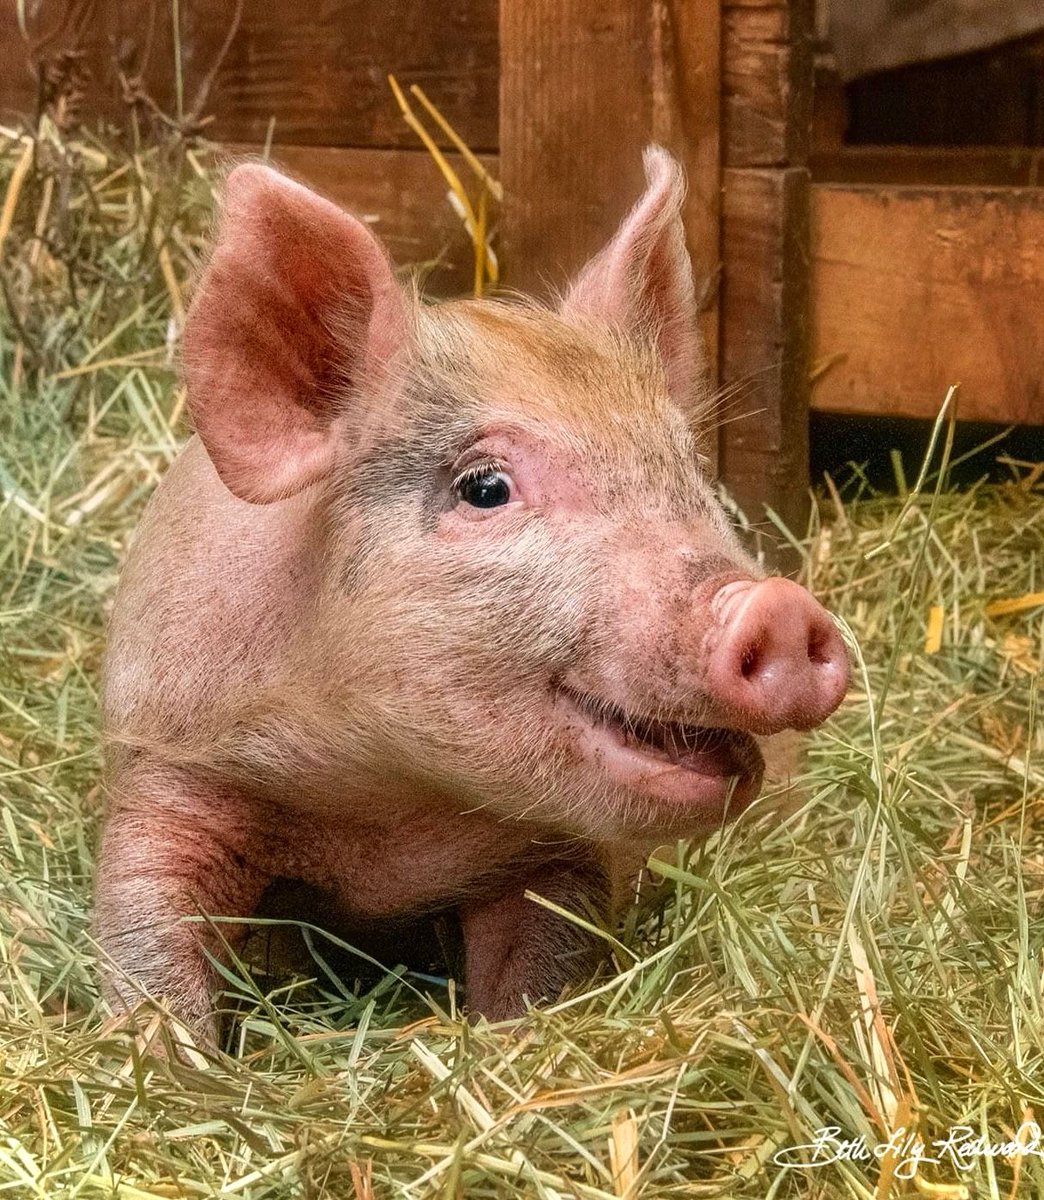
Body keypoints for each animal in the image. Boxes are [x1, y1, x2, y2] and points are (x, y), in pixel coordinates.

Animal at [96, 145, 849, 1036]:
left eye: (692, 470)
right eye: (485, 487)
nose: (778, 607)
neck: (387, 818)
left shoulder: (556, 852)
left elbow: (540, 960)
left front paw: (507, 1038)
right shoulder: (167, 761)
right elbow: (144, 927)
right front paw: (167, 1054)